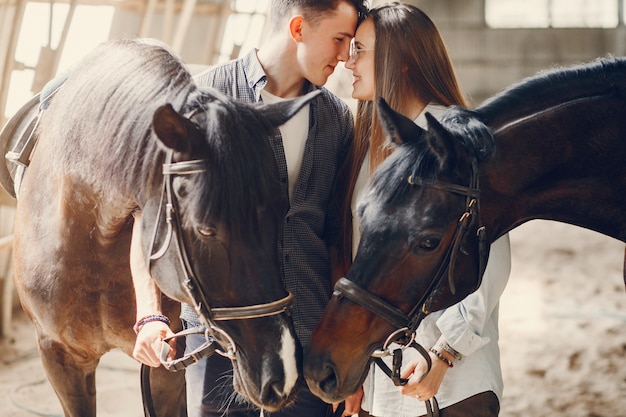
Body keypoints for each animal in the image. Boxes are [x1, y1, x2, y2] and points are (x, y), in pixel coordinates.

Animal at [2, 37, 316, 414]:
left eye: (280, 211)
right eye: (206, 229)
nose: (282, 371)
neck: (91, 237)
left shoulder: (166, 367)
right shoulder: (60, 358)